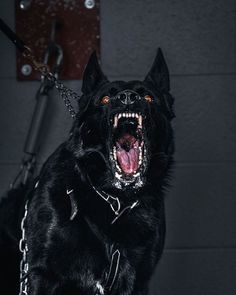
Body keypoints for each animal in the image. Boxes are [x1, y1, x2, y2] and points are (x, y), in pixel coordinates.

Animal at [0, 49, 175, 295]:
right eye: (105, 99)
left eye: (149, 98)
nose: (128, 97)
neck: (114, 200)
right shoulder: (39, 274)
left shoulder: (138, 281)